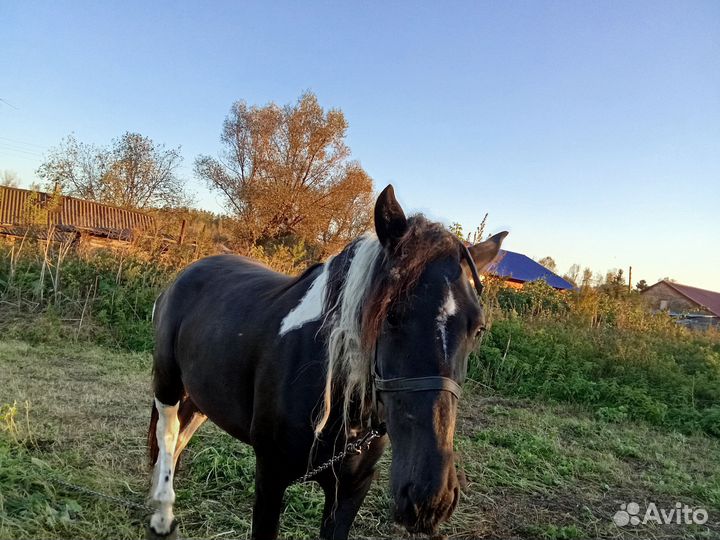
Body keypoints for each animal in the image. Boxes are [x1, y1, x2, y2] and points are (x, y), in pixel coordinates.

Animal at [146, 185, 507, 540]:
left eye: (478, 328)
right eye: (391, 315)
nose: (429, 498)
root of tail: (190, 270)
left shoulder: (350, 489)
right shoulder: (270, 476)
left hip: (202, 397)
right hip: (168, 385)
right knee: (167, 435)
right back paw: (162, 513)